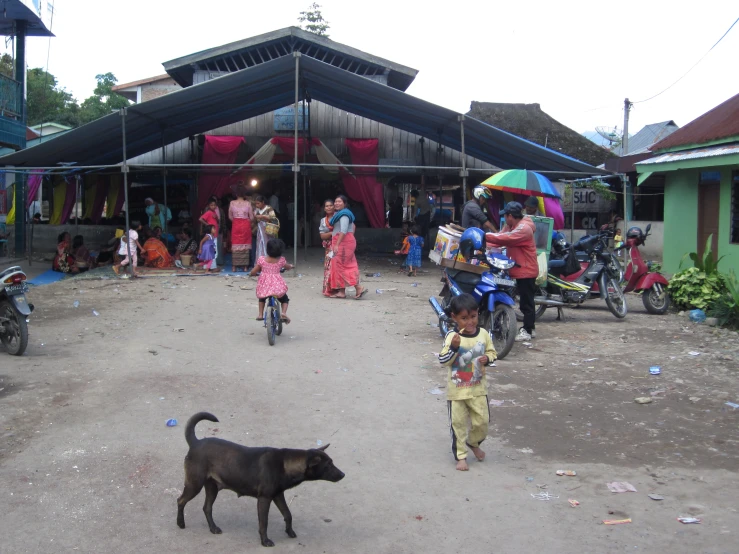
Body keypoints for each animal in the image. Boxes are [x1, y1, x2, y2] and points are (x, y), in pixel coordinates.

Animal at [177, 410, 346, 544]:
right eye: (328, 465)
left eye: (332, 462)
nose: (343, 474)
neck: (284, 463)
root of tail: (195, 442)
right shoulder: (264, 499)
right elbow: (264, 523)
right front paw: (265, 541)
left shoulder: (278, 495)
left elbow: (288, 514)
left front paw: (289, 531)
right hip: (194, 484)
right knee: (181, 501)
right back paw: (180, 523)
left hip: (212, 487)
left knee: (207, 508)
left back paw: (213, 528)